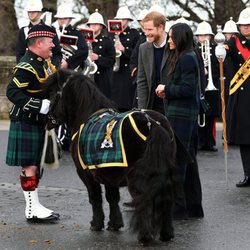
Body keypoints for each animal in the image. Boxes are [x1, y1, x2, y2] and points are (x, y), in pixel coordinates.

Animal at [45, 69, 178, 245]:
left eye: (53, 93)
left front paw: (96, 223)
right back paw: (166, 234)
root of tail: (152, 123)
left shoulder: (86, 173)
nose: (46, 120)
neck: (86, 114)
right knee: (167, 200)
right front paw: (115, 223)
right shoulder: (109, 170)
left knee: (144, 200)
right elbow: (112, 197)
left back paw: (145, 236)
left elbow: (95, 197)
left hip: (138, 176)